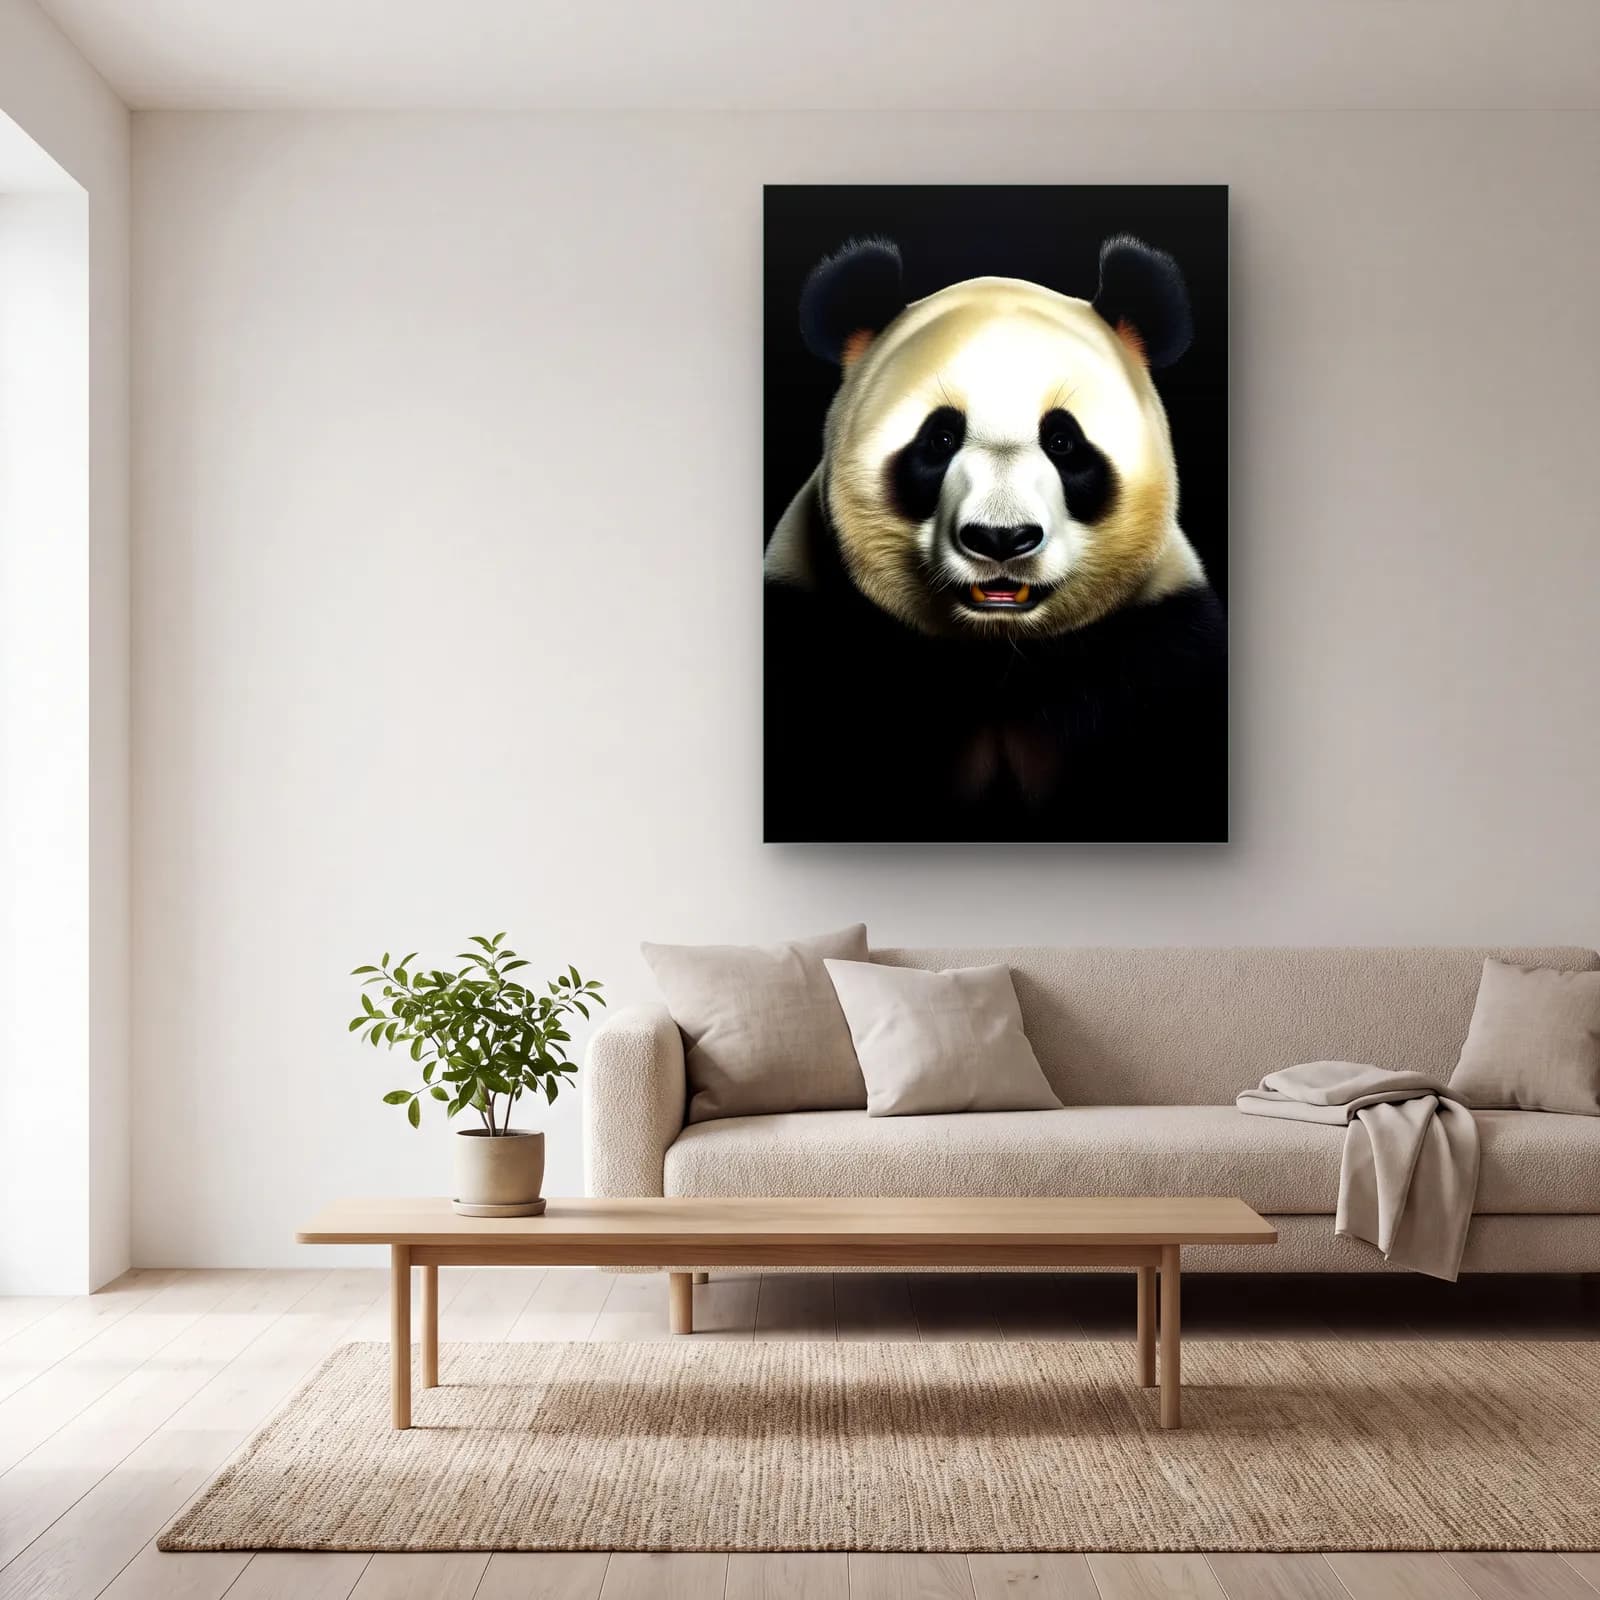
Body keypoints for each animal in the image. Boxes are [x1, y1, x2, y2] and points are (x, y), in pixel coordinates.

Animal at [764, 234, 1226, 844]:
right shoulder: (810, 632)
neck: (1000, 658)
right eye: (939, 439)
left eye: (1062, 441)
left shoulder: (1161, 646)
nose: (1000, 539)